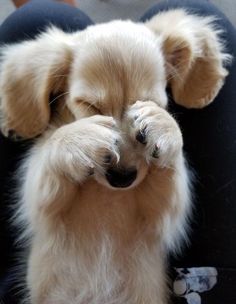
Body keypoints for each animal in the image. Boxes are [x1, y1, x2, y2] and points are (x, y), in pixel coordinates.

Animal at [0, 9, 230, 304]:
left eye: (149, 102)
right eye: (90, 105)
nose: (122, 179)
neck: (107, 196)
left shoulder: (162, 214)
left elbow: (171, 168)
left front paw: (164, 124)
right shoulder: (41, 204)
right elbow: (52, 151)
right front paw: (79, 137)